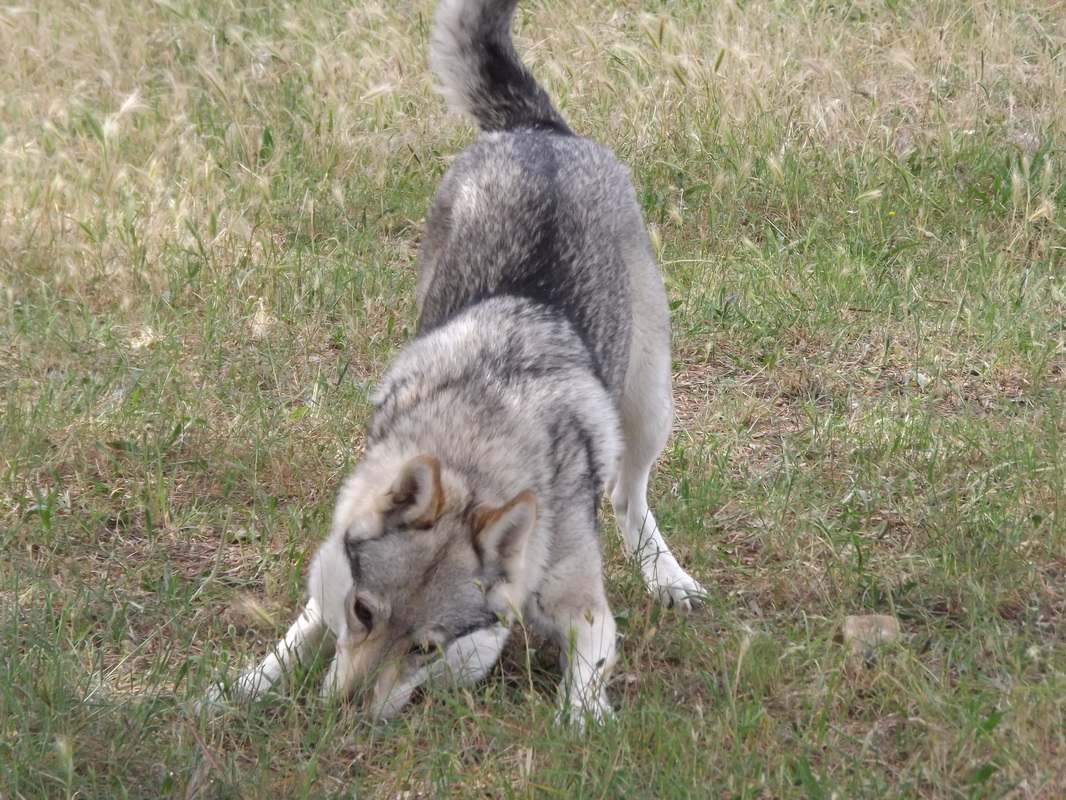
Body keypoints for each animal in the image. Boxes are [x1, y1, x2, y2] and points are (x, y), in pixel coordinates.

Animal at [202, 0, 705, 724]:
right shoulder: (337, 560)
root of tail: (537, 131)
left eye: (427, 648)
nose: (344, 717)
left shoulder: (585, 611)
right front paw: (239, 687)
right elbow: (297, 635)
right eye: (363, 612)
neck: (476, 450)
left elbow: (579, 677)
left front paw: (580, 723)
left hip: (649, 409)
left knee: (626, 496)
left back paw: (668, 577)